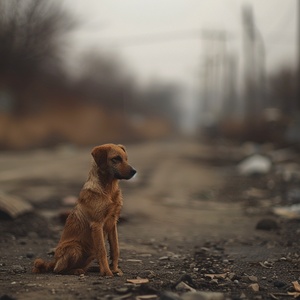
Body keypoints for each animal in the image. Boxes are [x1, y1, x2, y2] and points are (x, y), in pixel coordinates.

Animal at [32, 144, 136, 276]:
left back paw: (93, 268)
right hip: (75, 248)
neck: (109, 189)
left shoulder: (113, 223)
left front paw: (115, 269)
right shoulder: (97, 225)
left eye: (126, 159)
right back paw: (77, 270)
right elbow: (102, 251)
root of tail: (54, 262)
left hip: (89, 253)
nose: (134, 171)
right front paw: (107, 272)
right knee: (59, 270)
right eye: (116, 159)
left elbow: (115, 249)